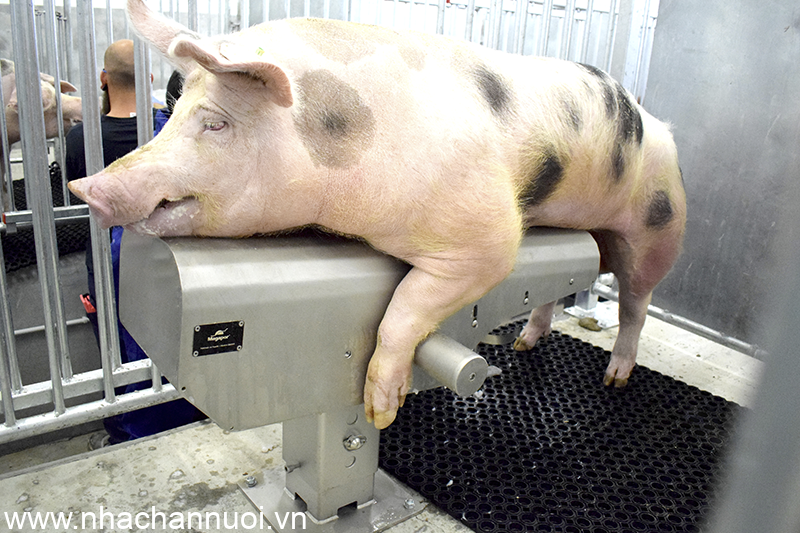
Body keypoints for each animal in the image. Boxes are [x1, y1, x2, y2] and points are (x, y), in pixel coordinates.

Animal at [68, 0, 686, 430]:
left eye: (216, 123)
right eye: (172, 112)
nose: (86, 186)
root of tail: (657, 122)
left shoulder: (484, 235)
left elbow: (405, 312)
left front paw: (380, 411)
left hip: (661, 223)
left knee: (636, 302)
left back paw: (615, 379)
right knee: (555, 296)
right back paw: (522, 346)